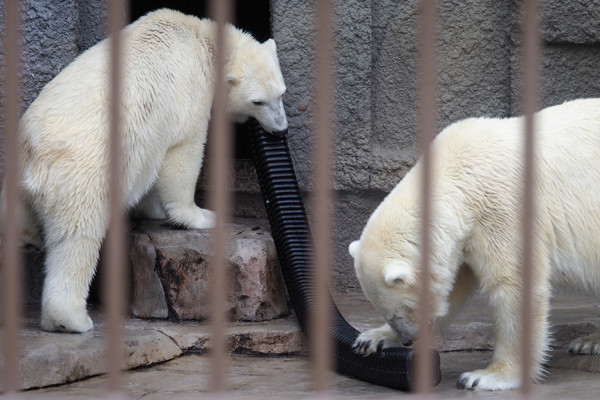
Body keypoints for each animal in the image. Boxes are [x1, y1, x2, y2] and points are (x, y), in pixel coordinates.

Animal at [1, 9, 288, 332]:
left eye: (281, 94)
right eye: (258, 101)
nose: (281, 129)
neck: (203, 41)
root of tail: (35, 157)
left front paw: (154, 209)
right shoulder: (189, 92)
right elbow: (183, 152)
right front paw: (200, 216)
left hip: (15, 178)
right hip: (81, 176)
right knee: (77, 240)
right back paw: (71, 319)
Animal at [350, 97, 600, 390]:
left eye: (404, 308)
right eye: (386, 313)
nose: (409, 340)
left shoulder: (502, 209)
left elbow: (514, 285)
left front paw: (485, 377)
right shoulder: (465, 236)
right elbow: (452, 290)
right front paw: (372, 338)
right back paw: (590, 342)